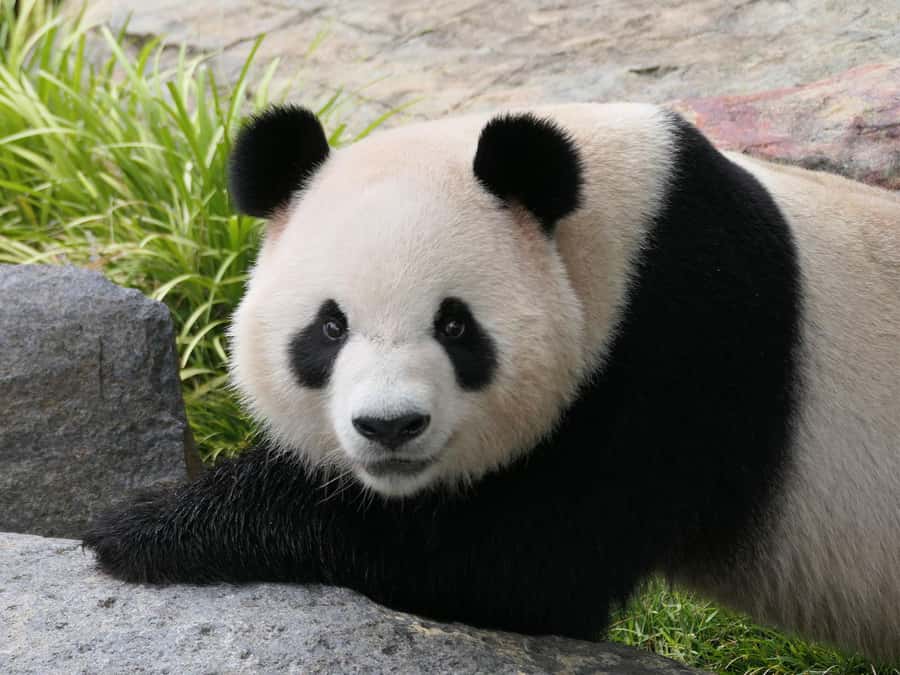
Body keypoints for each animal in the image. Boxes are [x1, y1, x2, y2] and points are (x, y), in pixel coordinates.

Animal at [83, 101, 900, 661]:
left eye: (455, 326)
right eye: (329, 328)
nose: (390, 427)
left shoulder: (679, 348)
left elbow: (512, 563)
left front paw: (143, 525)